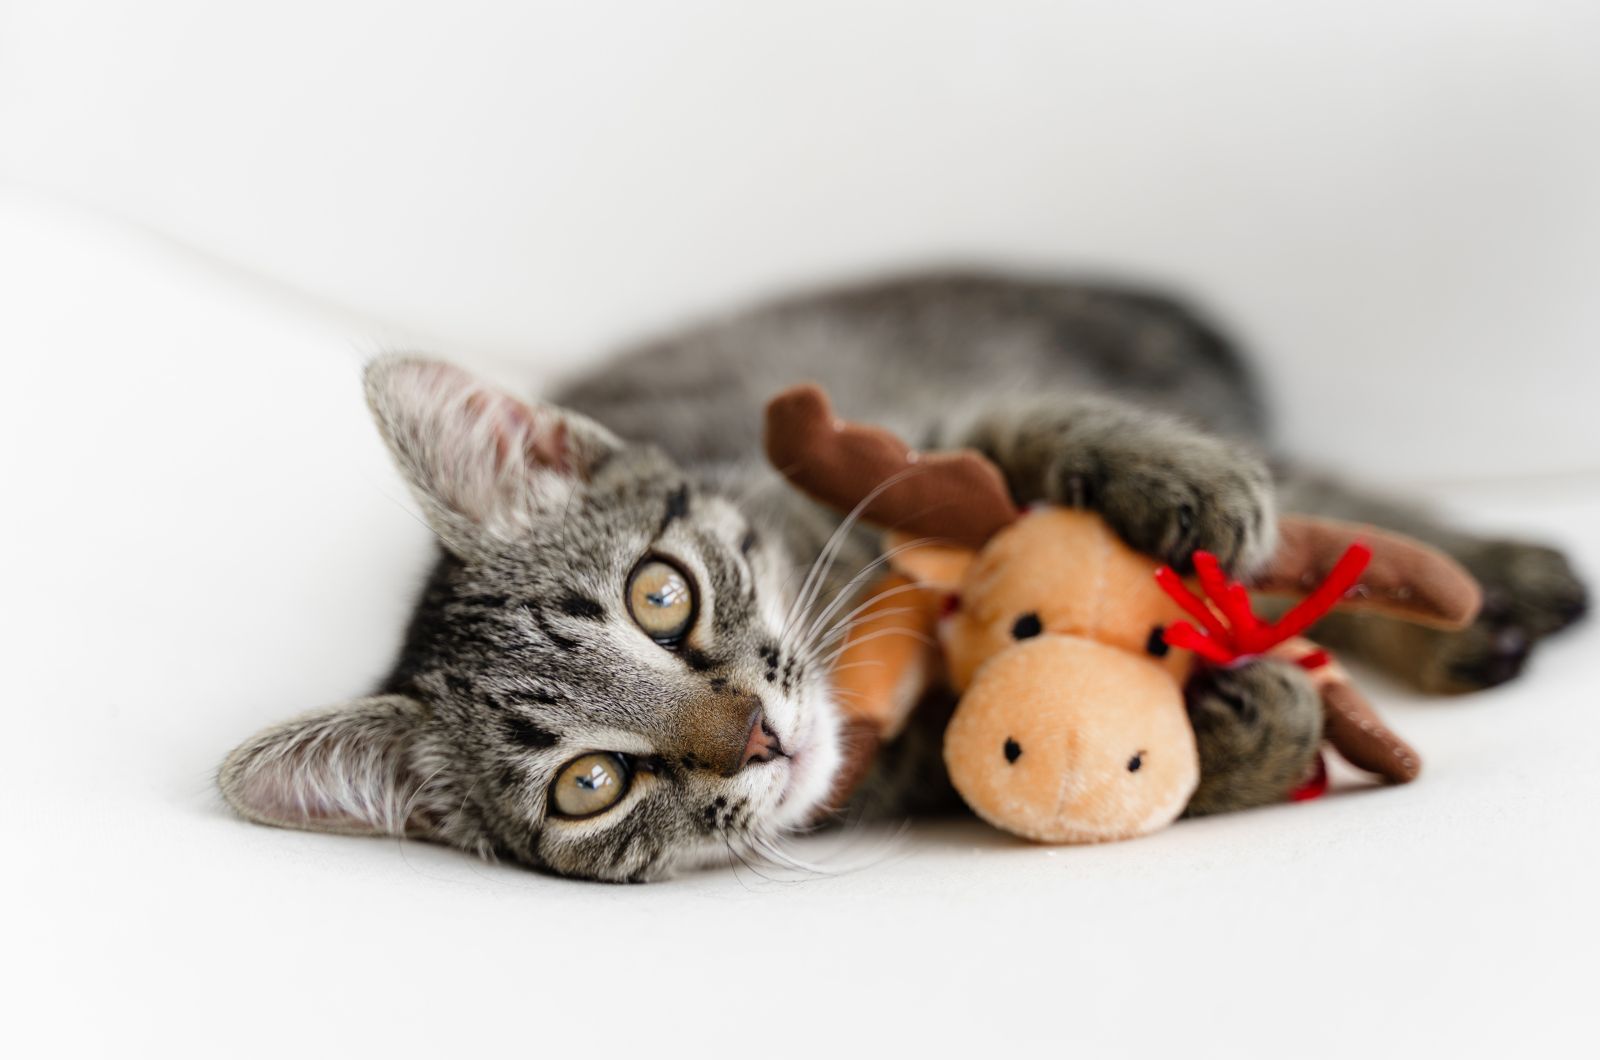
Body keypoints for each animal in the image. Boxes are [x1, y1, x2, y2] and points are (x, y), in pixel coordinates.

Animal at [222, 272, 1587, 877]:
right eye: (590, 784)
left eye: (660, 597)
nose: (760, 736)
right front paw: (1246, 729)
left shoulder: (902, 429)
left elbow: (1021, 424)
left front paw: (1172, 475)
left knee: (1337, 498)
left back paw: (1493, 583)